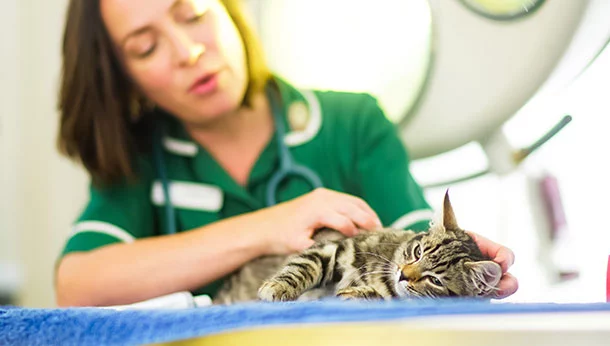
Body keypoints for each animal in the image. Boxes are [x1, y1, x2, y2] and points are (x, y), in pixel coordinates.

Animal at [214, 193, 498, 304]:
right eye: (418, 252)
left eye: (435, 280)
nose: (403, 275)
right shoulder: (335, 247)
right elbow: (303, 267)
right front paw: (278, 287)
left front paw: (358, 293)